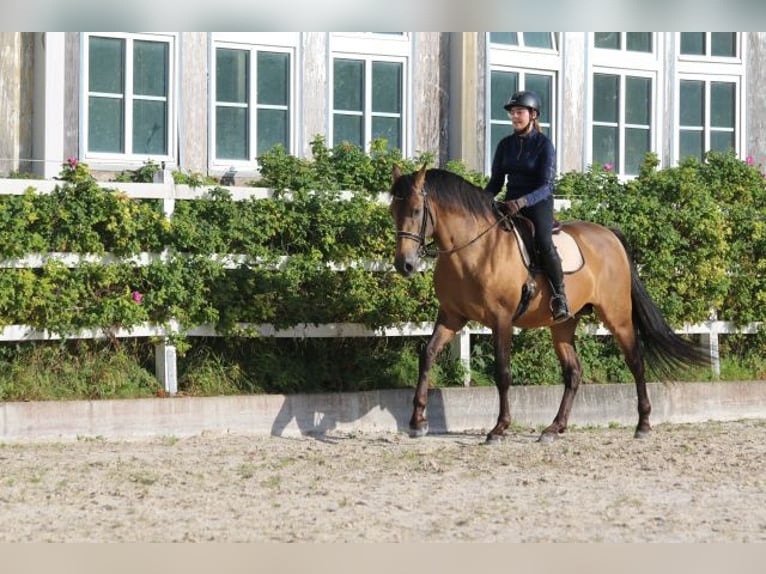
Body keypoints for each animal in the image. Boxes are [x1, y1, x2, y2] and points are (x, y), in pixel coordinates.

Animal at [392, 166, 712, 446]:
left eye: (417, 211)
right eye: (393, 211)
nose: (404, 265)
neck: (474, 250)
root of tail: (609, 235)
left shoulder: (501, 319)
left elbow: (503, 372)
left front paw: (499, 428)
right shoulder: (452, 316)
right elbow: (428, 355)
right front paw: (417, 422)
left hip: (616, 315)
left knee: (635, 359)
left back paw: (643, 425)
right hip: (564, 324)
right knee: (574, 372)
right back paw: (554, 428)